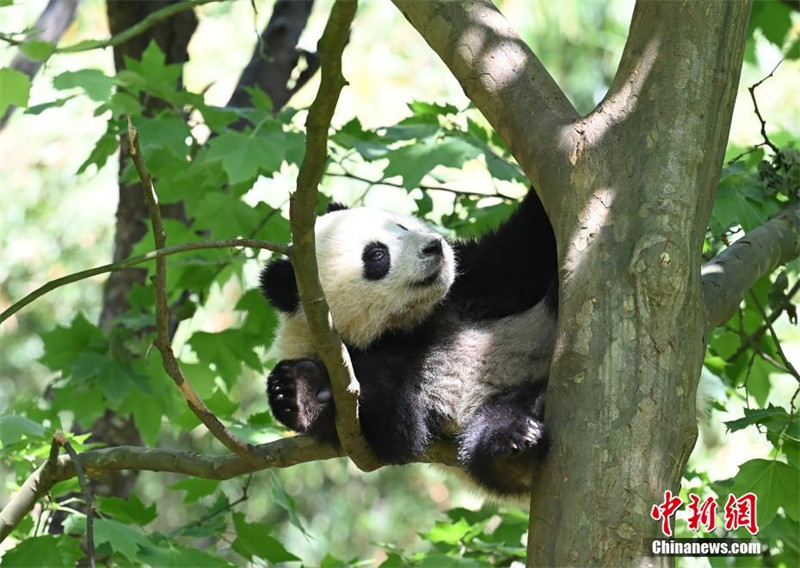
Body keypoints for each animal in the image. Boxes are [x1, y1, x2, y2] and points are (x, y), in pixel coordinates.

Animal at [259, 187, 558, 496]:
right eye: (377, 254)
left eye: (401, 226)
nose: (434, 247)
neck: (406, 327)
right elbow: (395, 429)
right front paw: (299, 390)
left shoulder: (472, 282)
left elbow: (527, 245)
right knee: (491, 431)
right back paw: (513, 445)